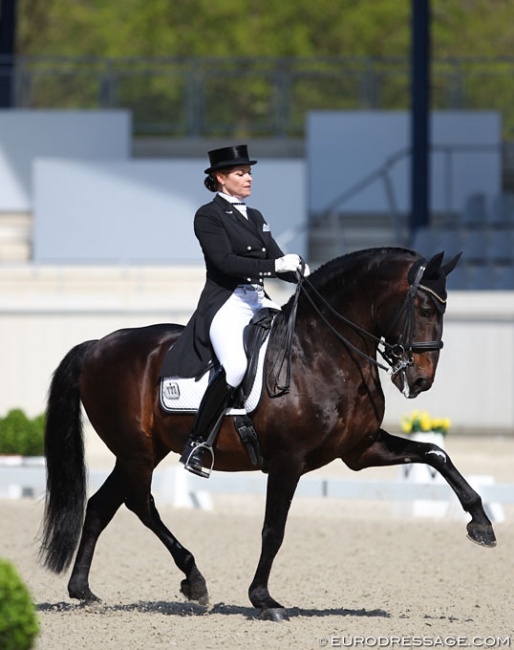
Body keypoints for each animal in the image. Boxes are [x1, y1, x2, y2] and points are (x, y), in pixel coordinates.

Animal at [38, 246, 494, 620]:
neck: (321, 352)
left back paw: (83, 591)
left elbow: (435, 453)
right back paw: (194, 579)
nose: (420, 380)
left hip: (145, 451)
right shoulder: (287, 461)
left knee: (102, 505)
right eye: (424, 307)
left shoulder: (361, 450)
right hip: (137, 452)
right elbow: (274, 528)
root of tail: (98, 345)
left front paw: (481, 525)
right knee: (140, 503)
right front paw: (264, 599)